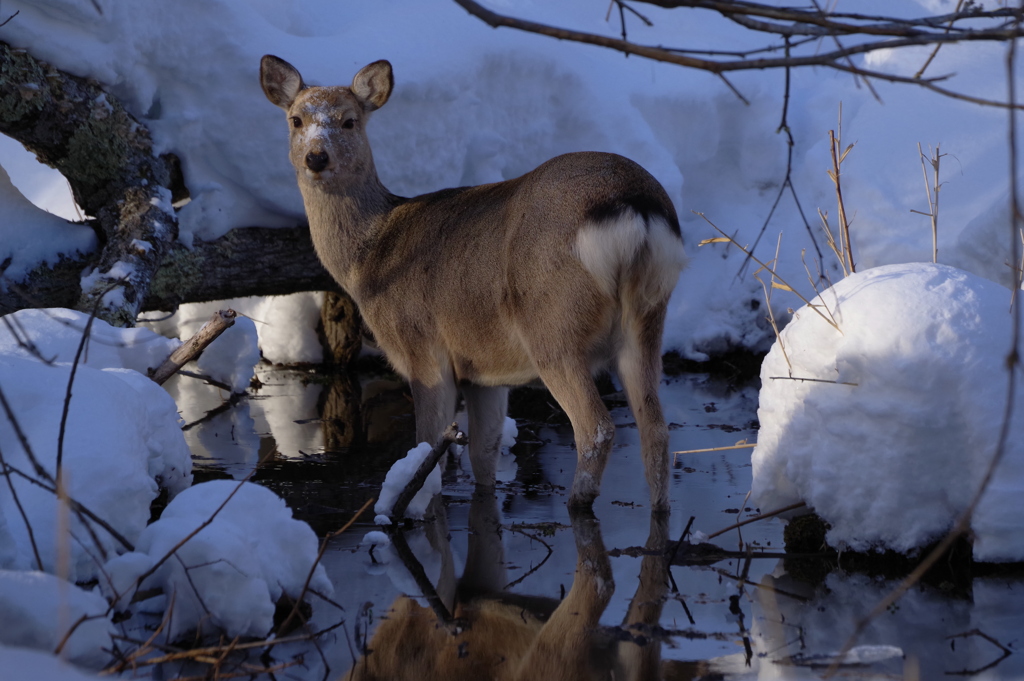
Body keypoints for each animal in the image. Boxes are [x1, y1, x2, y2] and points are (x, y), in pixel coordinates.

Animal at [260, 54, 684, 509]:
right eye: (296, 119)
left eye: (349, 121)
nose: (316, 157)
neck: (371, 255)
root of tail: (633, 205)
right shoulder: (483, 371)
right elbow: (483, 455)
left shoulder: (422, 349)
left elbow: (428, 450)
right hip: (648, 317)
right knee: (657, 433)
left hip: (553, 325)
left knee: (597, 428)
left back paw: (577, 503)